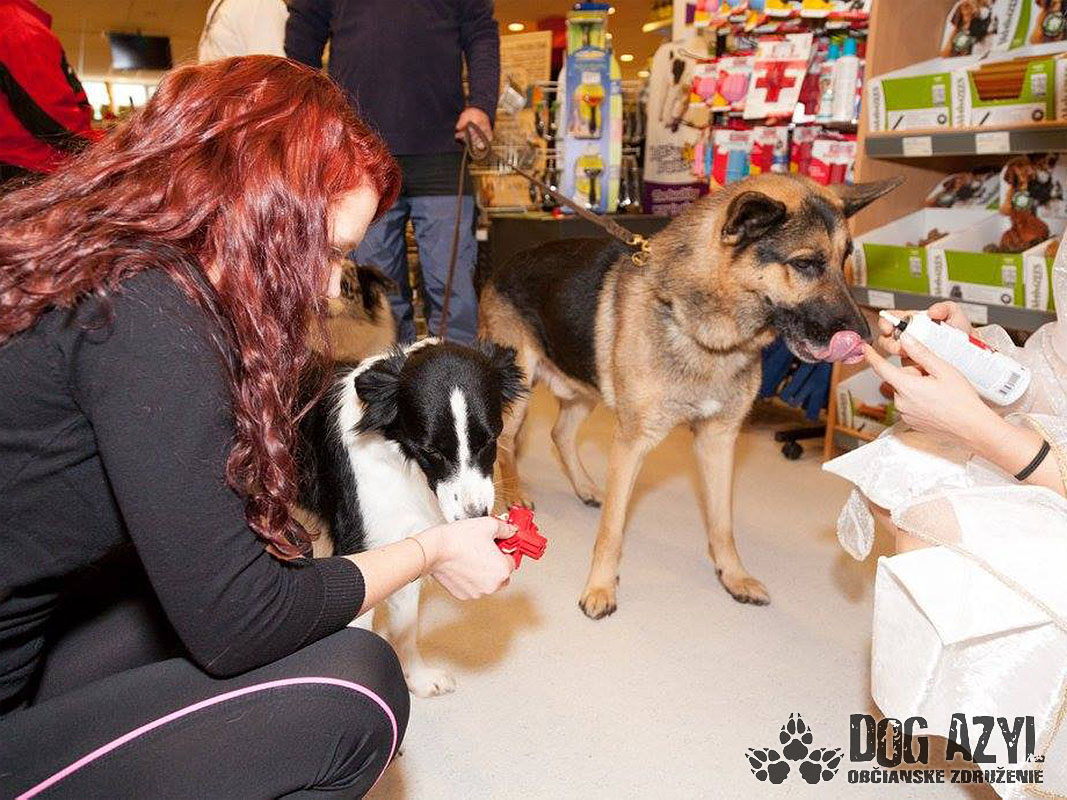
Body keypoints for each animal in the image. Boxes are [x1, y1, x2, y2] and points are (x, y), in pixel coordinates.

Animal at [298, 338, 525, 695]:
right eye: (431, 452)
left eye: (489, 440)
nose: (475, 516)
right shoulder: (362, 551)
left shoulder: (405, 542)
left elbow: (406, 624)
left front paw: (416, 678)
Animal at [478, 173, 901, 620]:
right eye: (804, 263)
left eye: (844, 260)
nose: (867, 337)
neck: (707, 333)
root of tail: (502, 265)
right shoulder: (631, 443)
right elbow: (613, 528)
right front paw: (599, 587)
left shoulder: (717, 441)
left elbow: (722, 522)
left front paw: (733, 576)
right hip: (520, 393)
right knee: (506, 444)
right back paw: (514, 496)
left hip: (581, 384)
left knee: (559, 433)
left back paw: (586, 488)